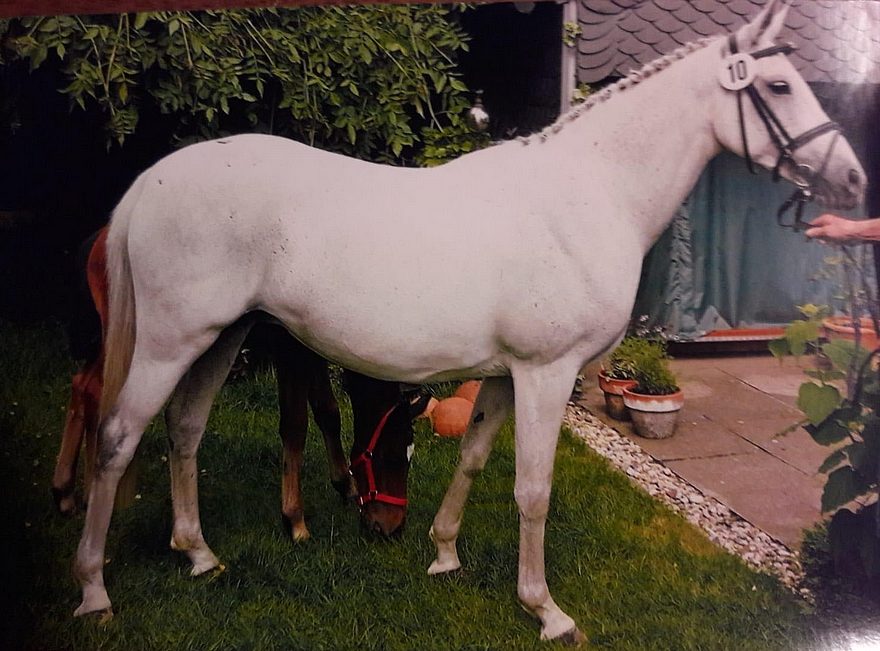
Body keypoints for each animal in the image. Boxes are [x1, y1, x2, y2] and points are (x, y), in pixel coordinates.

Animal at [52, 229, 430, 540]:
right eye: (394, 456)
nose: (391, 528)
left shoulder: (311, 350)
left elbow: (328, 411)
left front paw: (343, 484)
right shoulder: (288, 347)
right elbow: (295, 425)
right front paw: (294, 519)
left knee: (81, 384)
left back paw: (65, 493)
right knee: (95, 391)